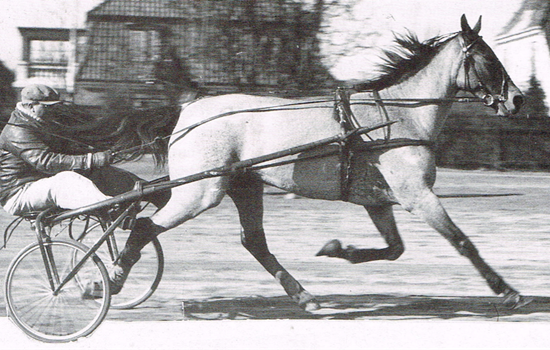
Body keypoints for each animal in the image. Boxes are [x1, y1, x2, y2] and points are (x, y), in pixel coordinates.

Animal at [126, 15, 532, 312]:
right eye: (489, 59)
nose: (517, 100)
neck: (397, 117)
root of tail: (189, 108)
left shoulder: (379, 202)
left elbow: (394, 249)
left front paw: (338, 249)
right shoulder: (417, 195)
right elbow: (463, 242)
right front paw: (507, 291)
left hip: (244, 185)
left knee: (254, 241)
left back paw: (305, 296)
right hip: (201, 191)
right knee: (145, 225)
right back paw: (115, 275)